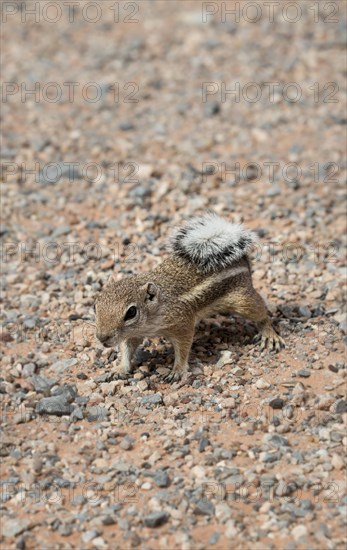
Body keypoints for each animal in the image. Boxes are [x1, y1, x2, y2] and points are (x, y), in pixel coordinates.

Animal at [95, 215, 286, 384]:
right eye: (96, 305)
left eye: (131, 312)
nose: (102, 337)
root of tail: (242, 258)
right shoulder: (133, 333)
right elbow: (127, 349)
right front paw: (120, 368)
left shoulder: (182, 323)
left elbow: (183, 348)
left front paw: (177, 371)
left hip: (243, 300)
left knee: (260, 313)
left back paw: (270, 335)